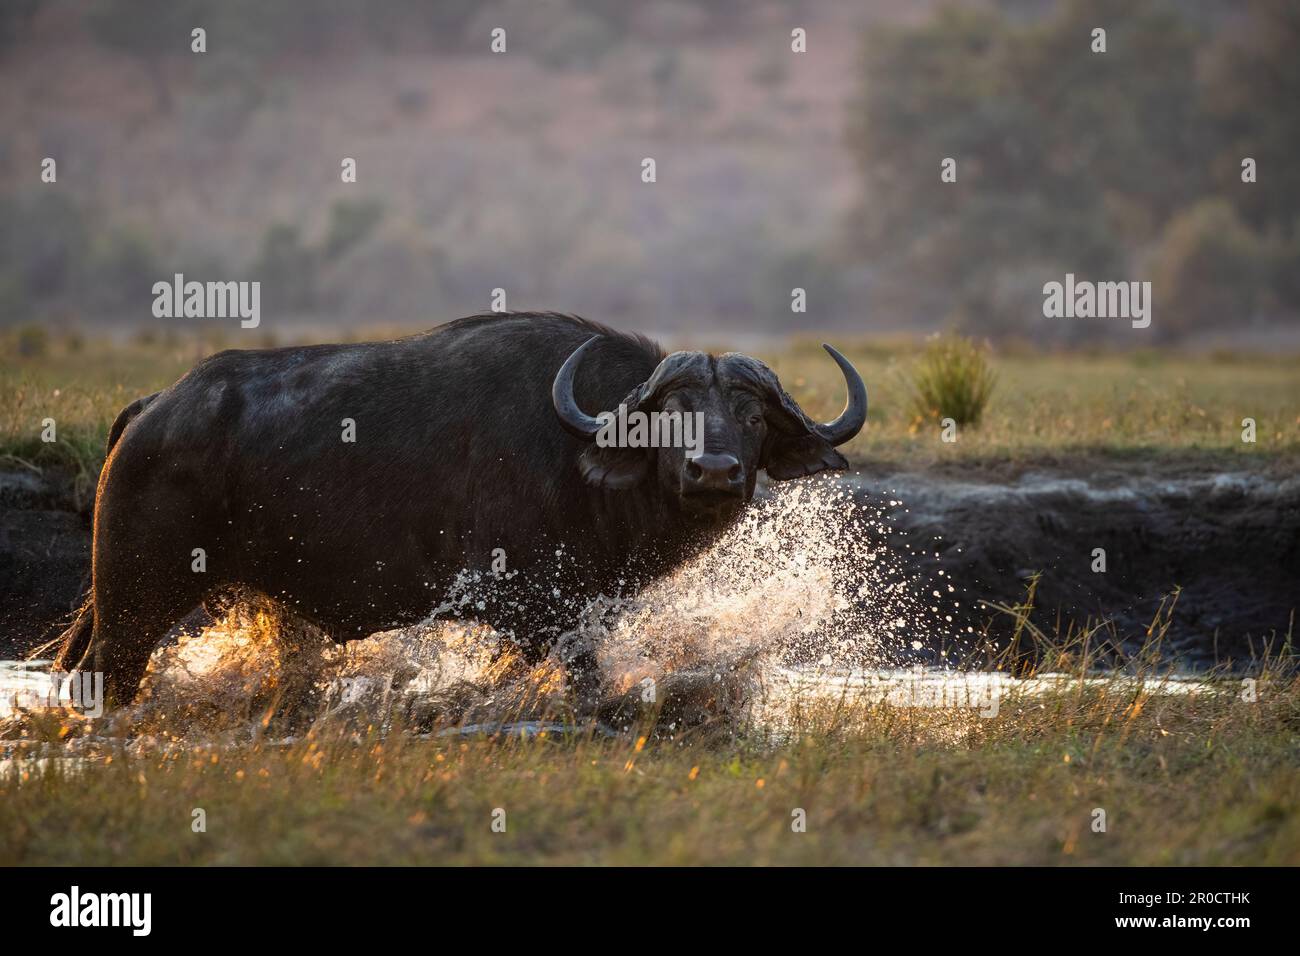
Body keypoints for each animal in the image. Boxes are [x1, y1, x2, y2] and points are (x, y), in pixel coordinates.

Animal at [52, 312, 866, 706]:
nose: (715, 471)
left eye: (752, 417)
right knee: (105, 673)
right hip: (136, 597)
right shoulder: (537, 609)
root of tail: (154, 408)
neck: (576, 451)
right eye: (671, 415)